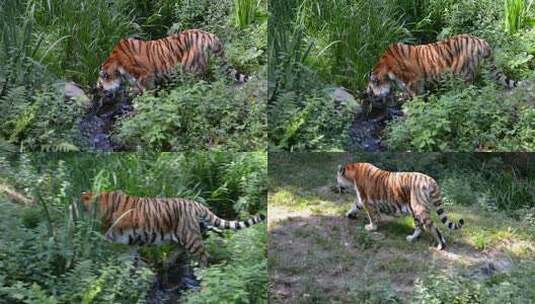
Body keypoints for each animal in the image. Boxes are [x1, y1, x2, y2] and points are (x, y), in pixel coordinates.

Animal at [78, 191, 266, 264]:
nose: (79, 216)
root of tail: (197, 204)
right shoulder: (132, 241)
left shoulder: (116, 233)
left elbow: (104, 242)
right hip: (186, 234)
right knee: (181, 249)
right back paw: (167, 263)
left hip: (190, 237)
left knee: (204, 256)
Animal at [96, 28, 247, 95]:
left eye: (100, 85)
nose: (99, 89)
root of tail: (211, 36)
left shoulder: (145, 75)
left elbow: (147, 93)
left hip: (190, 69)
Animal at [336, 163, 464, 251]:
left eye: (337, 179)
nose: (337, 187)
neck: (352, 176)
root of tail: (432, 181)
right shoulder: (360, 200)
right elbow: (354, 205)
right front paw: (348, 214)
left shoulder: (366, 201)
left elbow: (372, 216)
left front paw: (371, 227)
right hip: (415, 211)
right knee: (420, 228)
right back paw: (411, 238)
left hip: (420, 210)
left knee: (433, 227)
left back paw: (441, 245)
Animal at [368, 34, 520, 98]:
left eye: (371, 86)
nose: (371, 94)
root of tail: (482, 42)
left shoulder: (414, 81)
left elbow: (416, 97)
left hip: (463, 75)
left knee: (468, 91)